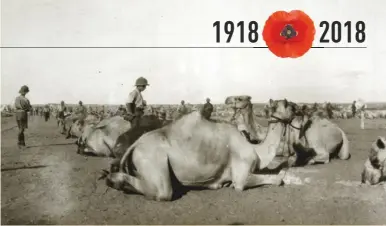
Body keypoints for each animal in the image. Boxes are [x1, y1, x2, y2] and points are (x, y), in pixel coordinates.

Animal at [99, 97, 296, 201]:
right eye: (287, 104)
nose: (298, 108)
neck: (256, 150)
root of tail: (136, 144)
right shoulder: (241, 175)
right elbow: (275, 179)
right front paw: (282, 174)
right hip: (152, 158)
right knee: (162, 192)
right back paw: (114, 181)